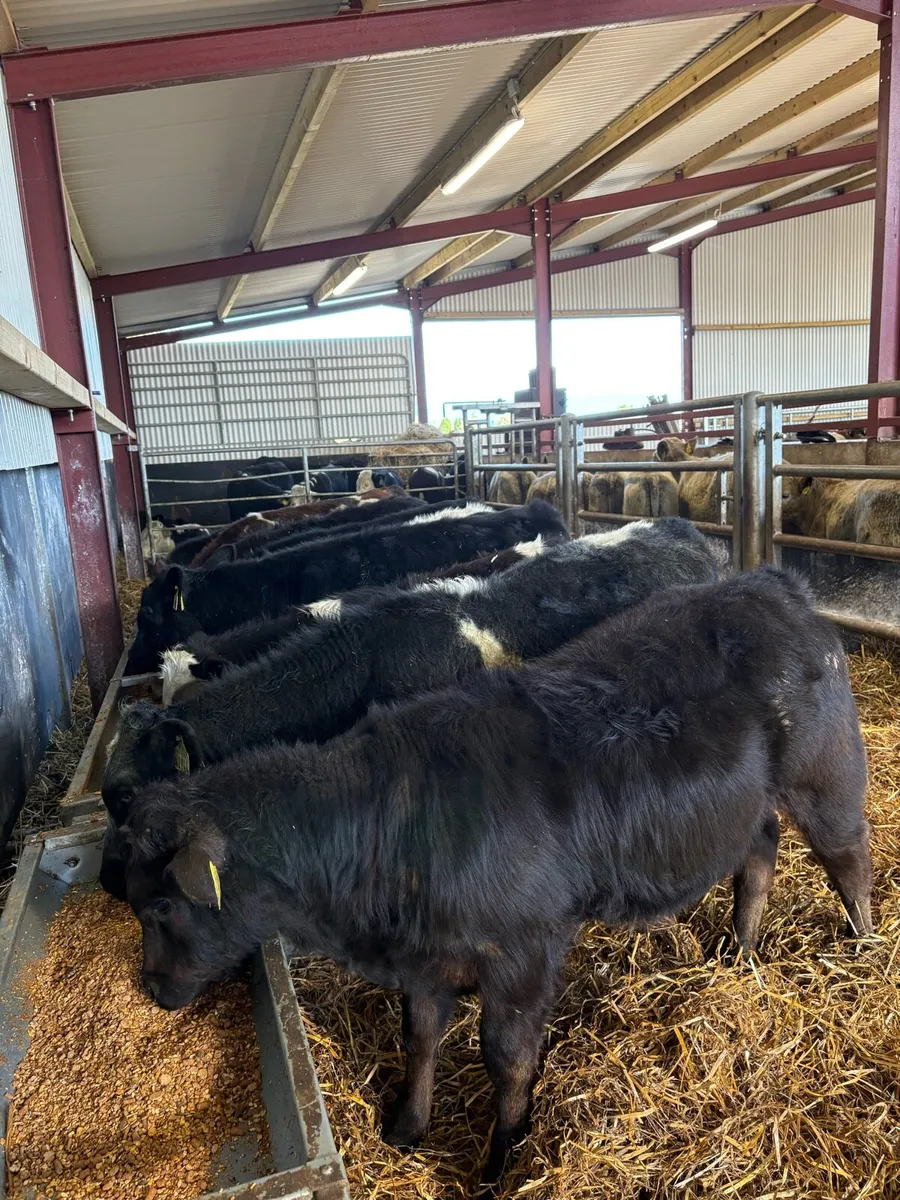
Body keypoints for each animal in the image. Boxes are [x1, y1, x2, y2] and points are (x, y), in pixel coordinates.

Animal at [119, 567, 872, 1193]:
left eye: (161, 906)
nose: (150, 988)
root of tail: (768, 584)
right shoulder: (426, 961)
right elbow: (420, 1038)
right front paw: (406, 1127)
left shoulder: (524, 953)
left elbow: (507, 1058)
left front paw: (504, 1155)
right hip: (749, 806)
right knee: (760, 852)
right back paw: (741, 950)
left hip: (825, 776)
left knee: (850, 859)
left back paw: (862, 946)